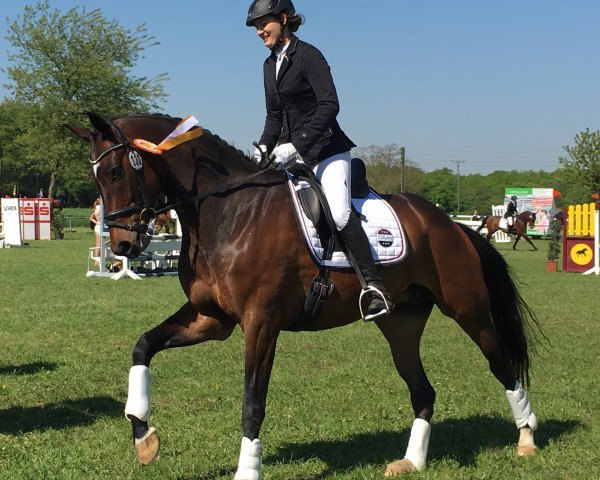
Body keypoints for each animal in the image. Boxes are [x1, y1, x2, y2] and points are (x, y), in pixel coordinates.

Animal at [68, 114, 540, 478]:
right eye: (96, 177)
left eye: (115, 172)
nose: (124, 245)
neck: (227, 213)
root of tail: (449, 223)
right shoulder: (211, 319)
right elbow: (143, 345)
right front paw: (143, 435)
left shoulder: (260, 323)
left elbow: (252, 402)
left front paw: (247, 470)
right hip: (400, 323)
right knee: (423, 392)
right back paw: (412, 462)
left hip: (468, 309)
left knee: (502, 364)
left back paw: (527, 437)